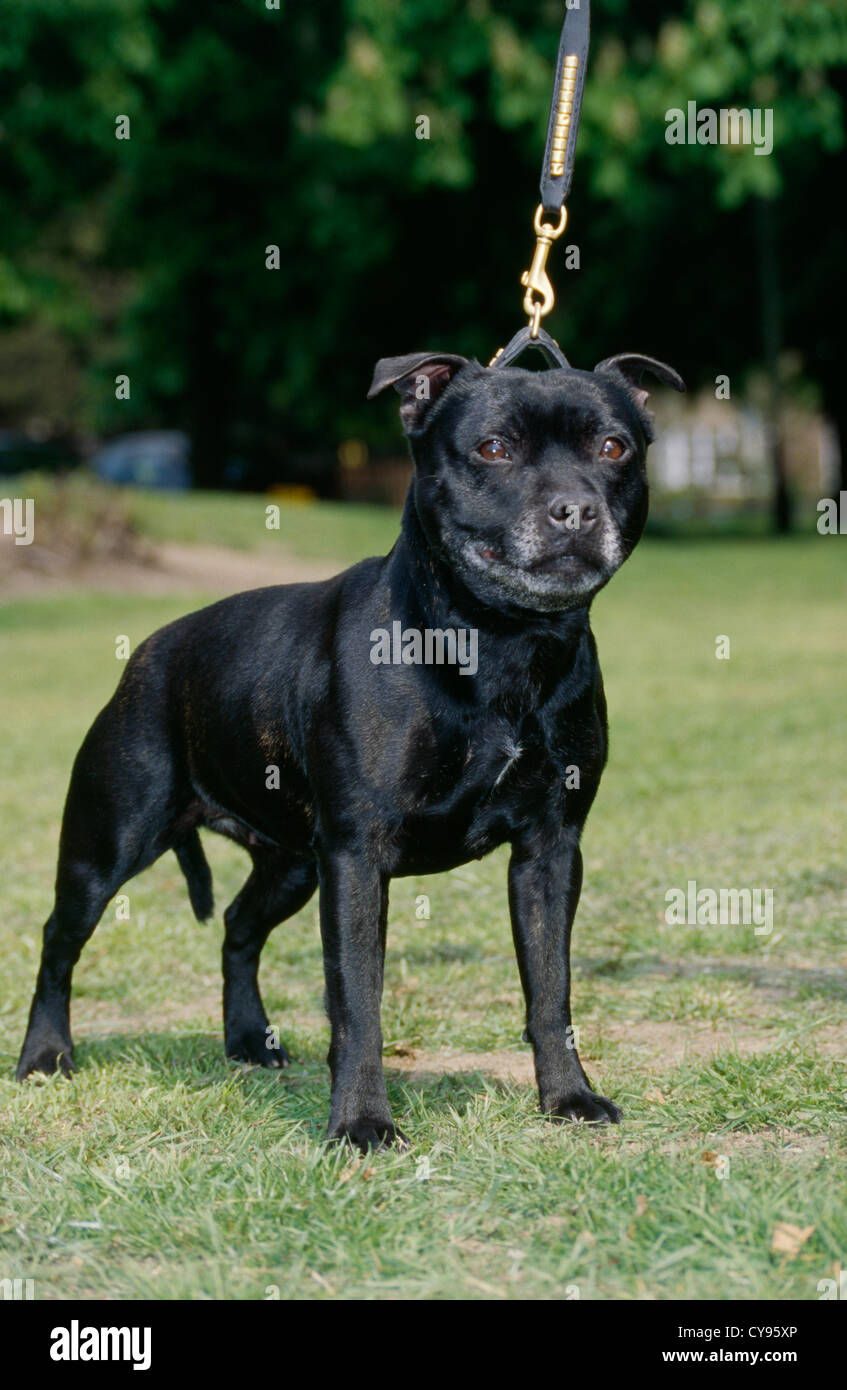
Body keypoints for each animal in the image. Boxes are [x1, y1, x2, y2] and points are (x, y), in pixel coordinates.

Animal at [16, 350, 684, 1150]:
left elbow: (551, 990)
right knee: (59, 940)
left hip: (291, 865)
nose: (575, 511)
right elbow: (358, 1000)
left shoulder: (549, 852)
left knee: (237, 928)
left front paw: (568, 1098)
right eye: (493, 448)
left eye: (613, 448)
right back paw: (45, 1057)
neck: (498, 643)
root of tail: (148, 650)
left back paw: (248, 1039)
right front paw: (362, 1122)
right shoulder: (358, 856)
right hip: (108, 845)